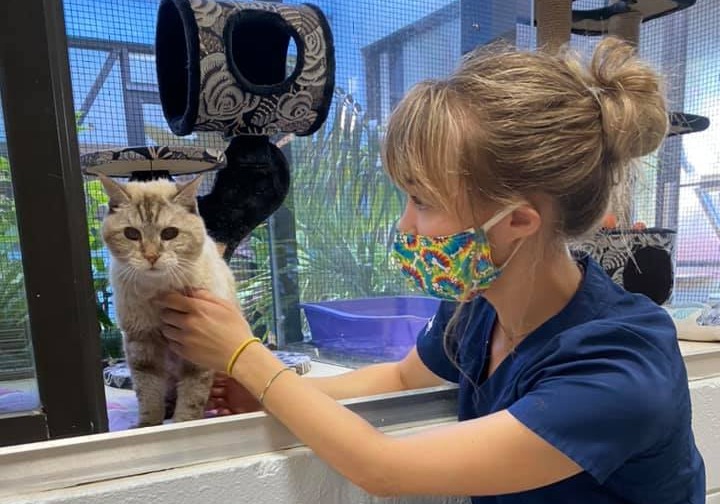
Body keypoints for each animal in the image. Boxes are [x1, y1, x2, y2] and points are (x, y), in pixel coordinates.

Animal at [98, 173, 236, 426]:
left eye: (170, 233)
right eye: (131, 234)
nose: (151, 256)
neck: (159, 291)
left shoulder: (196, 346)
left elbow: (192, 393)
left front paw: (185, 423)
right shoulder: (140, 341)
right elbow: (148, 390)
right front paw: (148, 425)